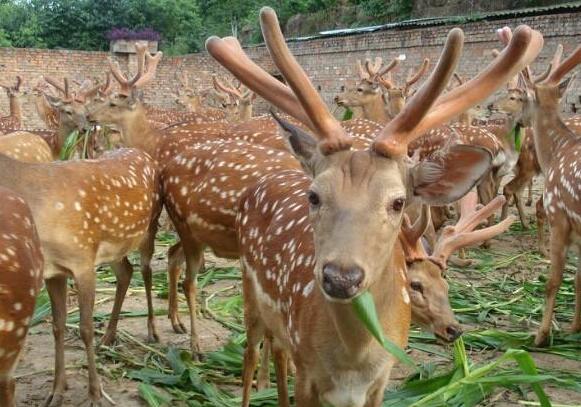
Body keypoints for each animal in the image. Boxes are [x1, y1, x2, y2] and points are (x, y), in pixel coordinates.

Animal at [205, 6, 544, 404]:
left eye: (398, 202)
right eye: (314, 195)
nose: (340, 277)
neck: (354, 363)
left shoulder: (381, 378)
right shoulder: (308, 370)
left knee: (277, 353)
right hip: (251, 294)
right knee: (250, 355)